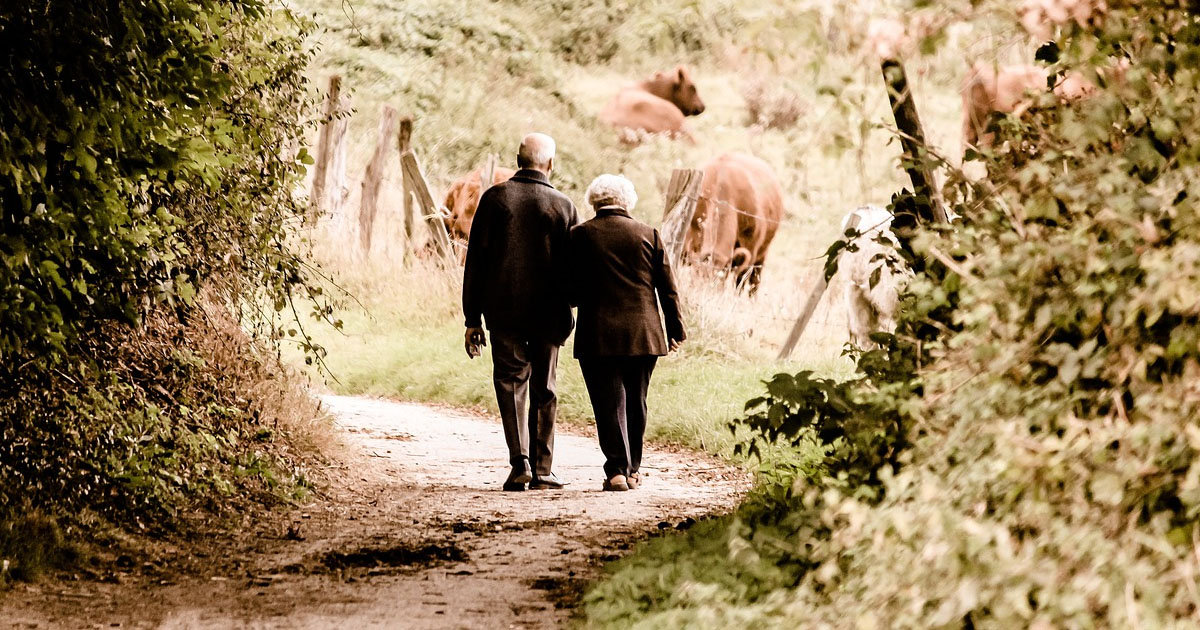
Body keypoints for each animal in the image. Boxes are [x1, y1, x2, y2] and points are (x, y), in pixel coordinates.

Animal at [686, 152, 787, 292]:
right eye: (698, 278)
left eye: (719, 280)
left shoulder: (751, 247)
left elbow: (741, 280)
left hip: (762, 255)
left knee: (754, 282)